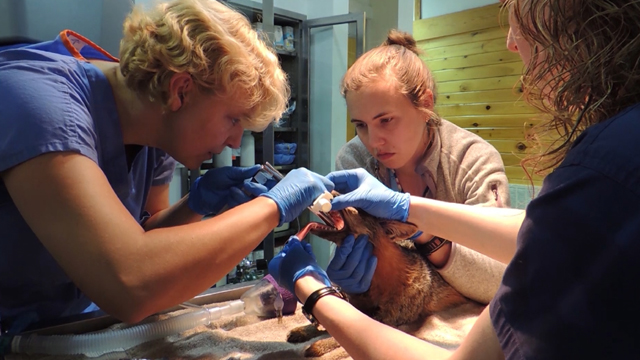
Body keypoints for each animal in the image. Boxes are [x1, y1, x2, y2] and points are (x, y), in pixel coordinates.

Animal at [288, 191, 470, 358]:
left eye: (357, 206)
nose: (328, 192)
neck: (376, 281)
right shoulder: (354, 303)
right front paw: (304, 330)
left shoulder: (386, 320)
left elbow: (340, 338)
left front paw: (320, 345)